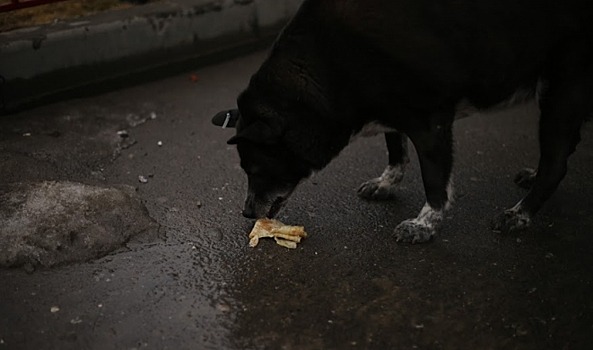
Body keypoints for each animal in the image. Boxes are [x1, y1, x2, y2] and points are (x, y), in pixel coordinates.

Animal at [213, 0, 592, 243]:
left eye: (256, 169)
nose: (247, 213)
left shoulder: (431, 124)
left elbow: (435, 181)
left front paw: (426, 224)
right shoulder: (392, 112)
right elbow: (395, 150)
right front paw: (386, 183)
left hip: (563, 88)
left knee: (556, 163)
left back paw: (520, 213)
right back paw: (531, 177)